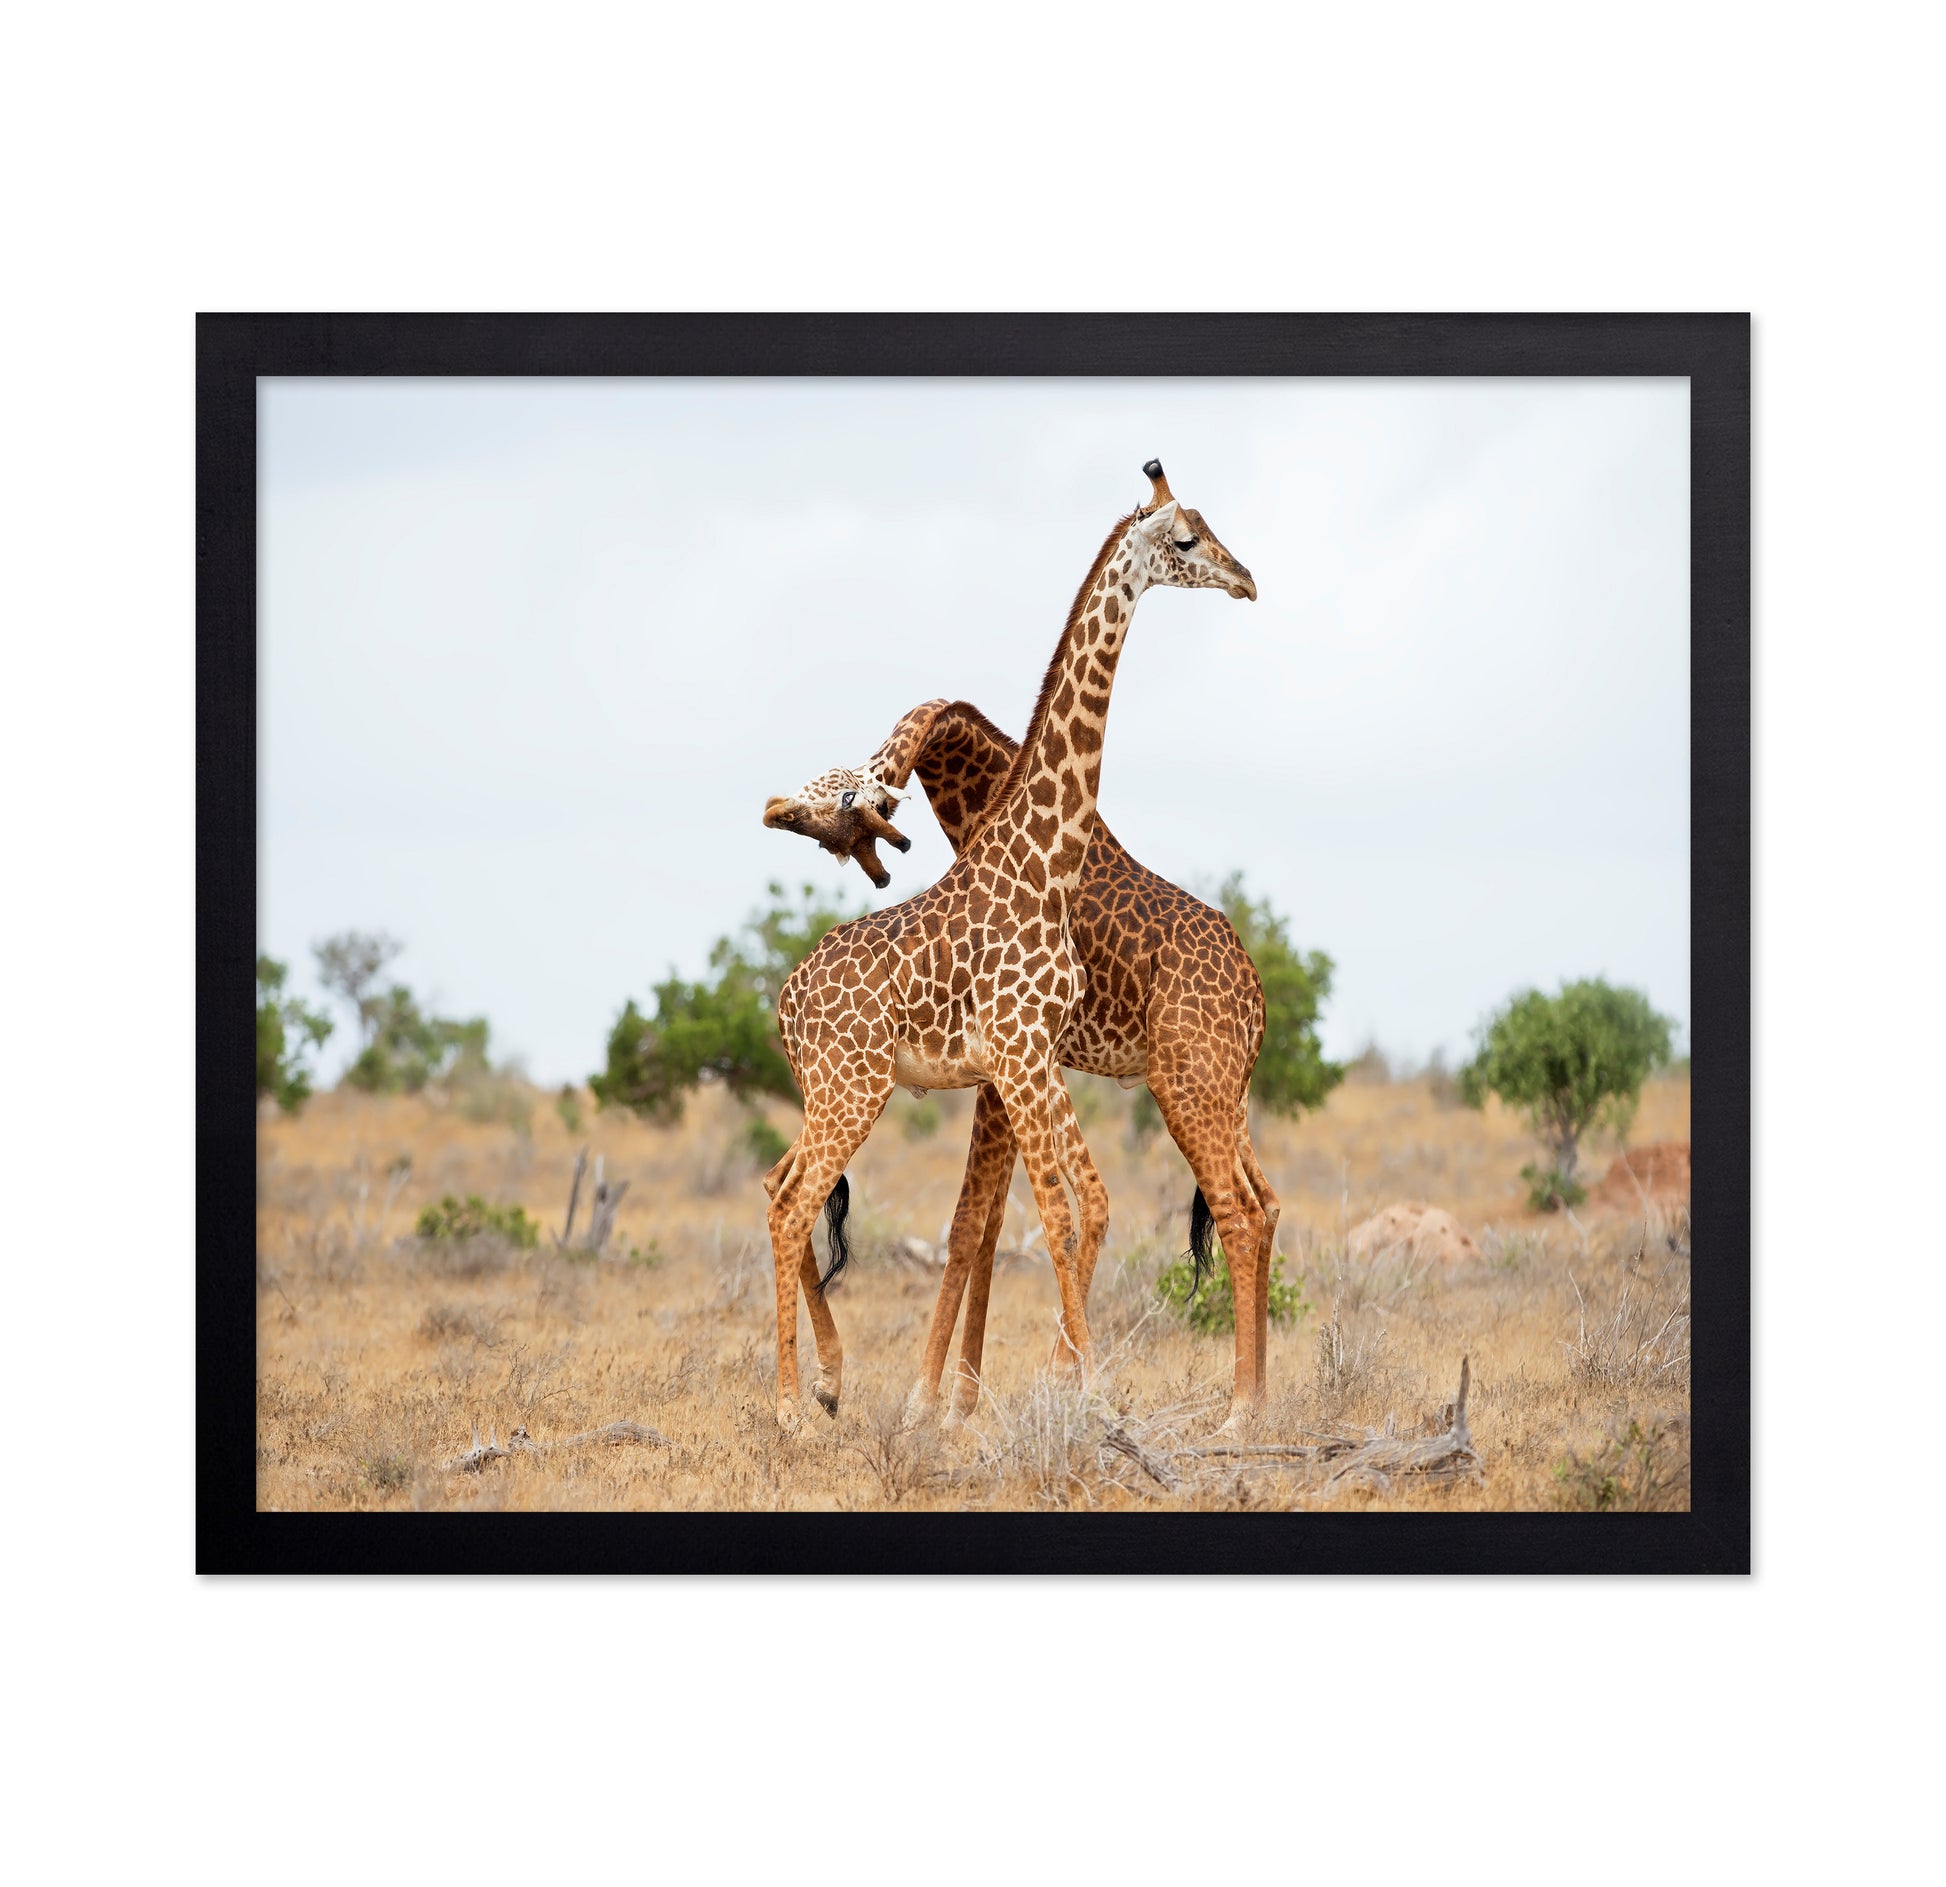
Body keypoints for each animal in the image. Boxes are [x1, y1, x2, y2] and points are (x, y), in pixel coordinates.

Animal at [759, 461, 1255, 1430]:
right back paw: (796, 1403)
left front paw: (1045, 1388)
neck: (1043, 860)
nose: (1248, 579)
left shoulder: (1032, 1059)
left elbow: (1073, 1206)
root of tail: (786, 1000)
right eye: (1186, 538)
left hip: (844, 1092)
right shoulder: (1021, 1057)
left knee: (779, 1188)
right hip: (854, 1090)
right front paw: (1076, 1392)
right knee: (792, 1202)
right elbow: (1053, 1217)